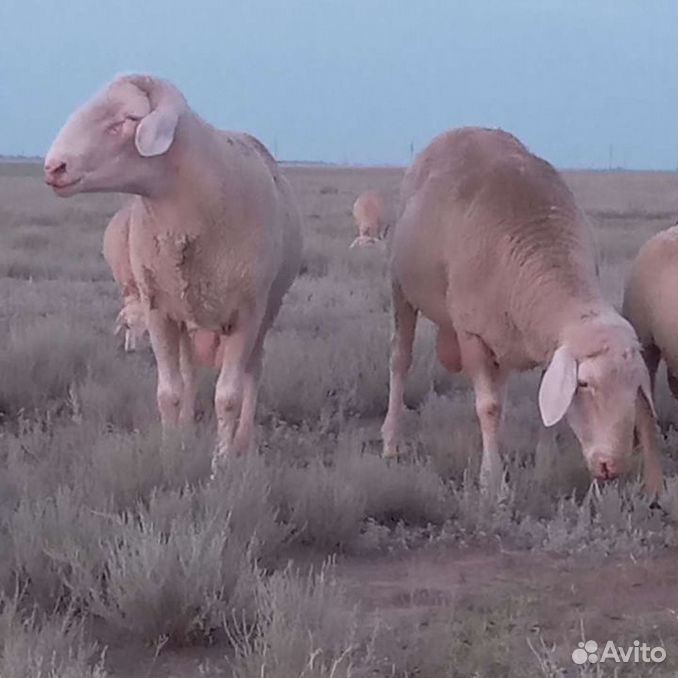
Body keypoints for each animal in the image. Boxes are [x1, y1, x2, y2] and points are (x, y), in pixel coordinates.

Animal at [45, 70, 302, 472]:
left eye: (128, 119)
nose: (54, 167)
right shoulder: (158, 311)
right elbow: (169, 391)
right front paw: (170, 452)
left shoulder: (246, 314)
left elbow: (228, 396)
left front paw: (221, 465)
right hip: (186, 315)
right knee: (189, 374)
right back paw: (186, 433)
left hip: (267, 311)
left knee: (252, 374)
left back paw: (242, 442)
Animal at [382, 127, 664, 496]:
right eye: (584, 384)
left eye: (634, 387)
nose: (611, 466)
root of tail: (460, 130)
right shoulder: (472, 333)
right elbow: (488, 407)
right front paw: (493, 484)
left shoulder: (542, 342)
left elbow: (543, 408)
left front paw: (543, 469)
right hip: (401, 287)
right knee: (400, 361)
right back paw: (391, 443)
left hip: (501, 338)